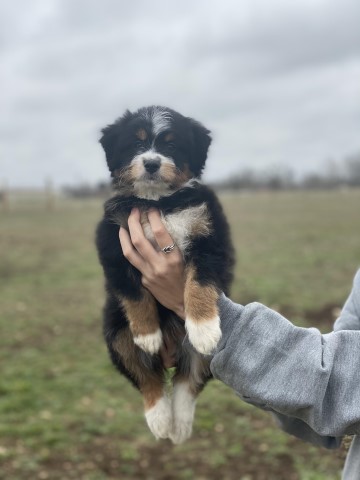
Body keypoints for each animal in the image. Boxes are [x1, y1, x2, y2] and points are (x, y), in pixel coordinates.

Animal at [95, 106, 235, 442]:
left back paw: (180, 424)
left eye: (171, 145)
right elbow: (135, 293)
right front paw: (147, 335)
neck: (160, 203)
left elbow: (199, 280)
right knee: (147, 379)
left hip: (209, 356)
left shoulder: (210, 238)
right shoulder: (114, 242)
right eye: (136, 143)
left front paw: (204, 328)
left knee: (189, 382)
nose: (151, 162)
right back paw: (160, 420)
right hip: (116, 334)